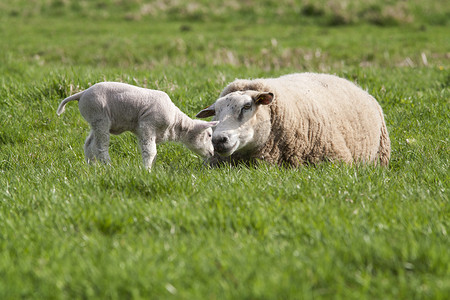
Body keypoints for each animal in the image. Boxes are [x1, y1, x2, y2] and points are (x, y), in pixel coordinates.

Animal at [57, 82, 219, 170]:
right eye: (209, 134)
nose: (212, 153)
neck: (176, 123)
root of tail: (82, 93)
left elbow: (153, 152)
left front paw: (150, 168)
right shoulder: (147, 125)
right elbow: (150, 151)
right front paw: (146, 170)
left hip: (94, 121)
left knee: (88, 144)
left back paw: (92, 166)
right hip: (100, 117)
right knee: (100, 147)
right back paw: (108, 167)